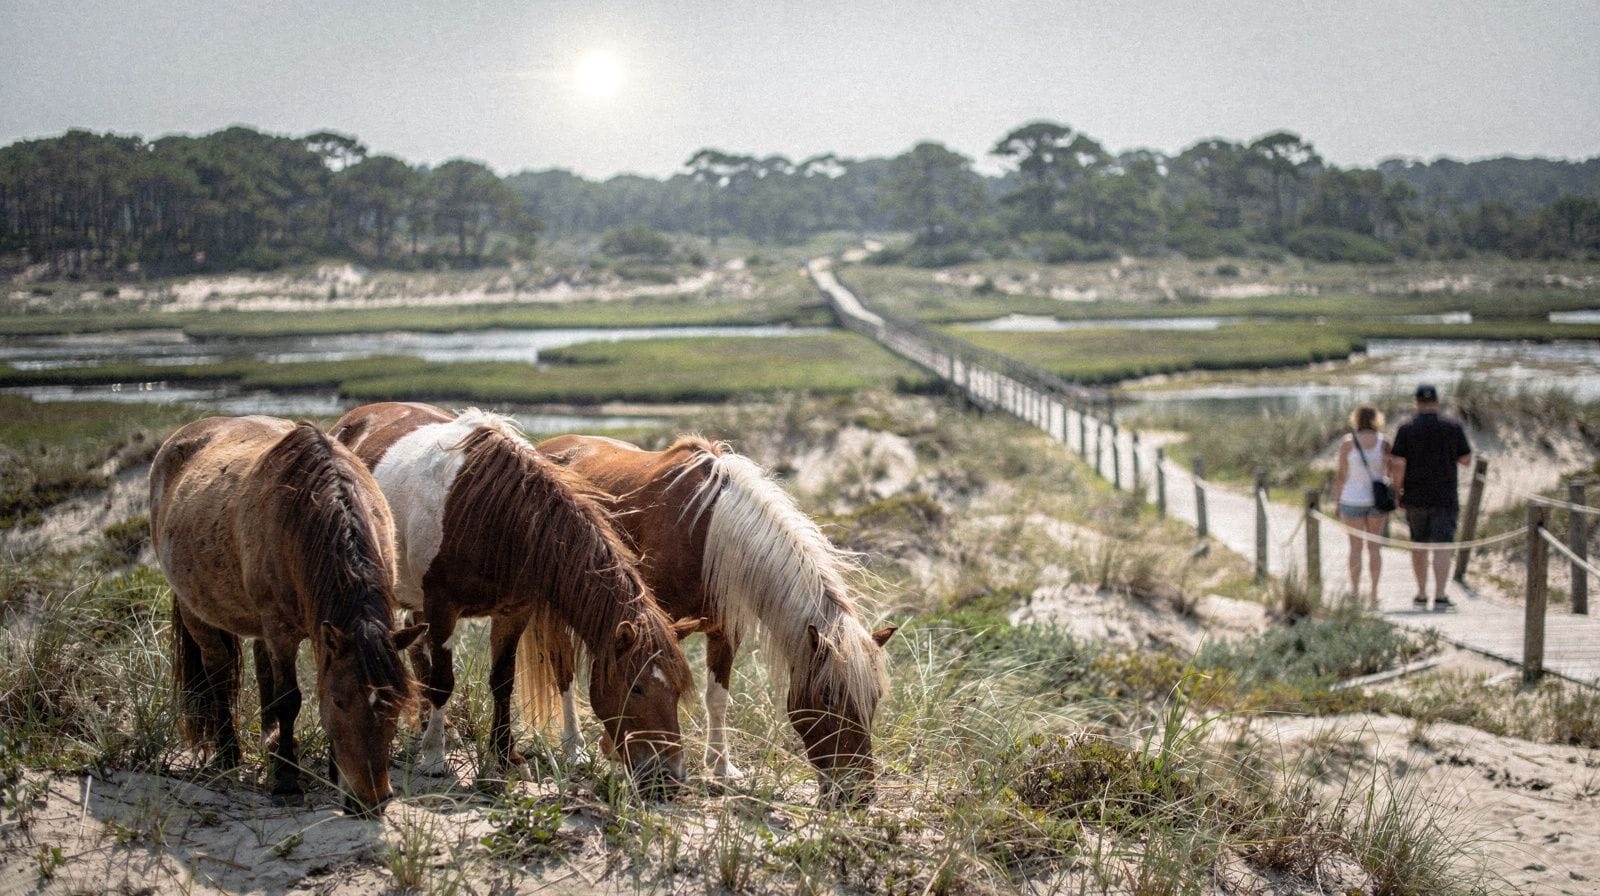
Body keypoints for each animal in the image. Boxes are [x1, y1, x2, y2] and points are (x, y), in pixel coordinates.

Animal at [148, 416, 426, 816]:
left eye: (396, 705)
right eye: (340, 702)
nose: (371, 800)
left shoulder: (321, 630)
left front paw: (329, 770)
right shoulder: (281, 631)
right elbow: (289, 700)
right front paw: (286, 782)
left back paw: (270, 744)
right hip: (196, 612)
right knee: (217, 670)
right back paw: (229, 754)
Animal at [329, 402, 694, 793]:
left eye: (676, 691)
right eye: (636, 689)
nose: (670, 778)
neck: (490, 514)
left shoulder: (514, 610)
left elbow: (502, 680)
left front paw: (505, 755)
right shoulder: (442, 608)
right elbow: (443, 682)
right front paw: (434, 758)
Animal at [536, 434, 896, 806]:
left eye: (874, 699)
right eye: (827, 698)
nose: (858, 794)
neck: (706, 532)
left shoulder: (725, 631)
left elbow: (717, 697)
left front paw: (722, 768)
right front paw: (619, 758)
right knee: (563, 671)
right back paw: (574, 749)